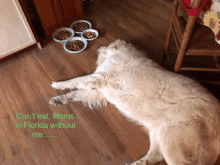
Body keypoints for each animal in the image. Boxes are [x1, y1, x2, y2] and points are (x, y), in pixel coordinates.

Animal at [49, 39, 220, 164]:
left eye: (108, 45)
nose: (98, 46)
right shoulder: (100, 92)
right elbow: (75, 93)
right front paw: (59, 99)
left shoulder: (98, 78)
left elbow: (74, 81)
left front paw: (58, 84)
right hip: (160, 134)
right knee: (152, 158)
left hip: (171, 139)